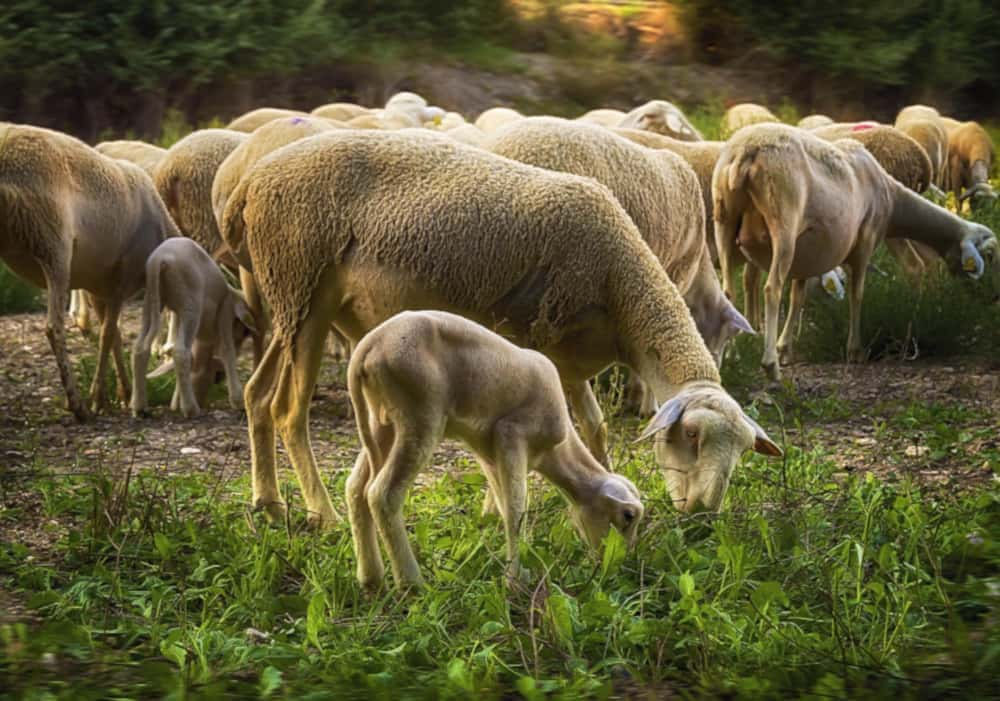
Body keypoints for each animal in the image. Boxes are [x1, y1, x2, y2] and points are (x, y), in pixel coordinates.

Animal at [0, 123, 178, 418]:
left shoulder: (99, 288)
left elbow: (115, 334)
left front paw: (123, 393)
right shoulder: (120, 281)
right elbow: (107, 335)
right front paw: (99, 397)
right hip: (53, 243)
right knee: (54, 328)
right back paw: (78, 405)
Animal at [131, 238, 258, 418]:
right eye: (243, 332)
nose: (218, 377)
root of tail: (159, 259)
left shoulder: (177, 315)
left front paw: (175, 403)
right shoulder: (224, 314)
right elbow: (227, 352)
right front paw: (238, 401)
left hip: (152, 299)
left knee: (140, 348)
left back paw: (139, 407)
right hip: (190, 302)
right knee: (180, 353)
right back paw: (191, 409)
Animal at [716, 123, 996, 380]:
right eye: (989, 255)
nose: (983, 297)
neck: (892, 197)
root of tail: (746, 152)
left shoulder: (806, 252)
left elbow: (798, 296)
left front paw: (785, 348)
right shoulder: (865, 241)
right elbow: (857, 294)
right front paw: (855, 350)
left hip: (725, 225)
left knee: (728, 292)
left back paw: (729, 357)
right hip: (783, 225)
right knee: (771, 289)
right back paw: (770, 365)